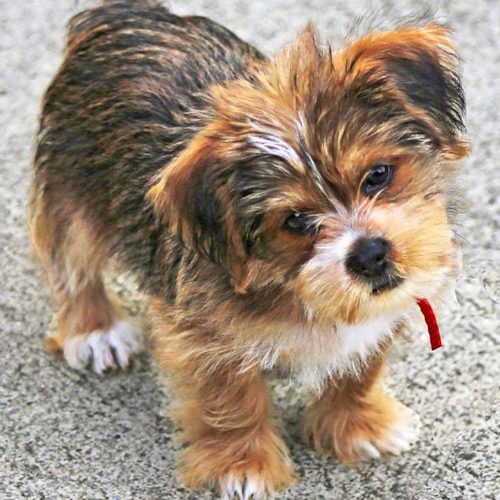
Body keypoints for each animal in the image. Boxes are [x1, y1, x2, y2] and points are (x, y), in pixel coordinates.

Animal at [30, 1, 468, 498]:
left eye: (378, 175)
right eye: (294, 220)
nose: (370, 254)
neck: (288, 286)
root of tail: (124, 14)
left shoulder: (386, 310)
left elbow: (361, 368)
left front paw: (358, 425)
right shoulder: (206, 338)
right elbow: (230, 399)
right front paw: (243, 465)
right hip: (70, 200)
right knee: (73, 268)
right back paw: (96, 331)